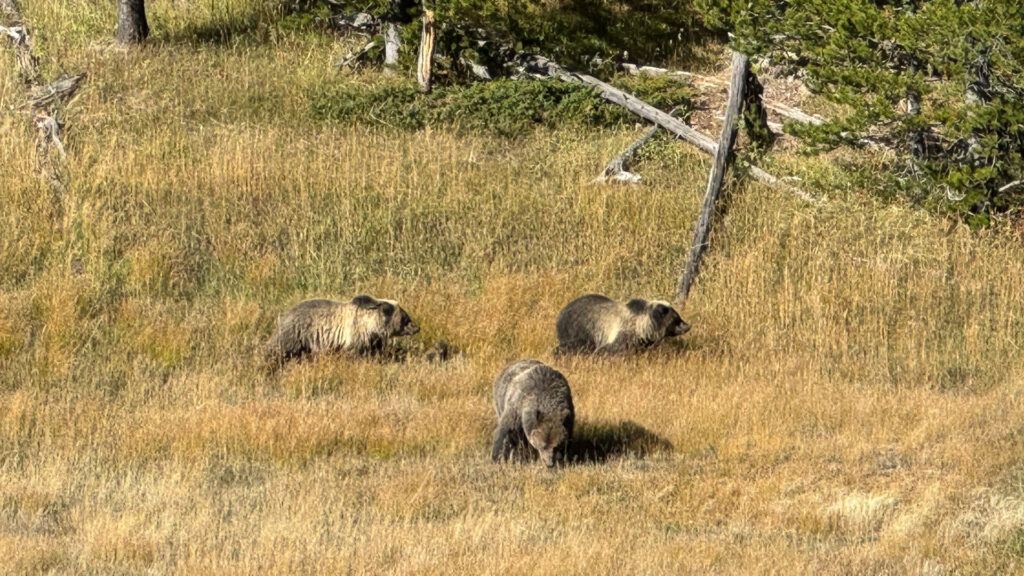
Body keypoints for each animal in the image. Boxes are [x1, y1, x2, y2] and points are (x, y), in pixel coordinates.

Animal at [268, 295, 423, 362]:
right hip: (297, 333)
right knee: (280, 349)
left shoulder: (373, 338)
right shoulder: (356, 334)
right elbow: (355, 353)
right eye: (405, 318)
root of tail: (284, 315)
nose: (417, 327)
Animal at [557, 291, 692, 354]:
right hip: (577, 329)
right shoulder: (621, 334)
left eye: (679, 318)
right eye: (676, 320)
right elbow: (612, 349)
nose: (687, 326)